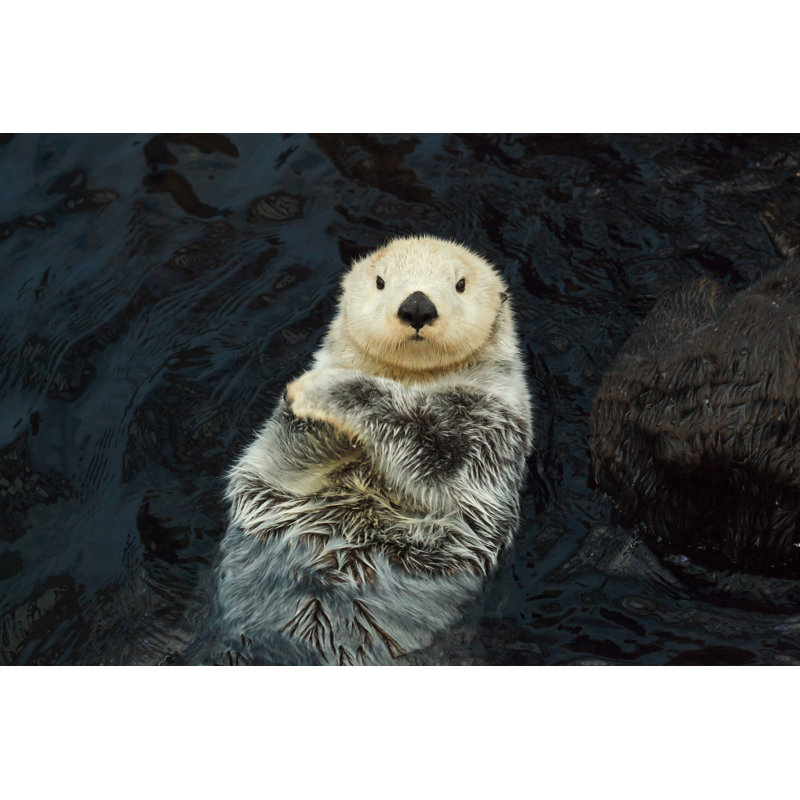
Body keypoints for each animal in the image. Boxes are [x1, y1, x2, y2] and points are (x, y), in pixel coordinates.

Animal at [213, 235, 533, 665]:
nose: (417, 306)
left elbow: (433, 453)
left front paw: (324, 389)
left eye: (461, 284)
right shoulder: (276, 462)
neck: (410, 379)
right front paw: (309, 405)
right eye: (381, 281)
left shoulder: (488, 428)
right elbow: (283, 457)